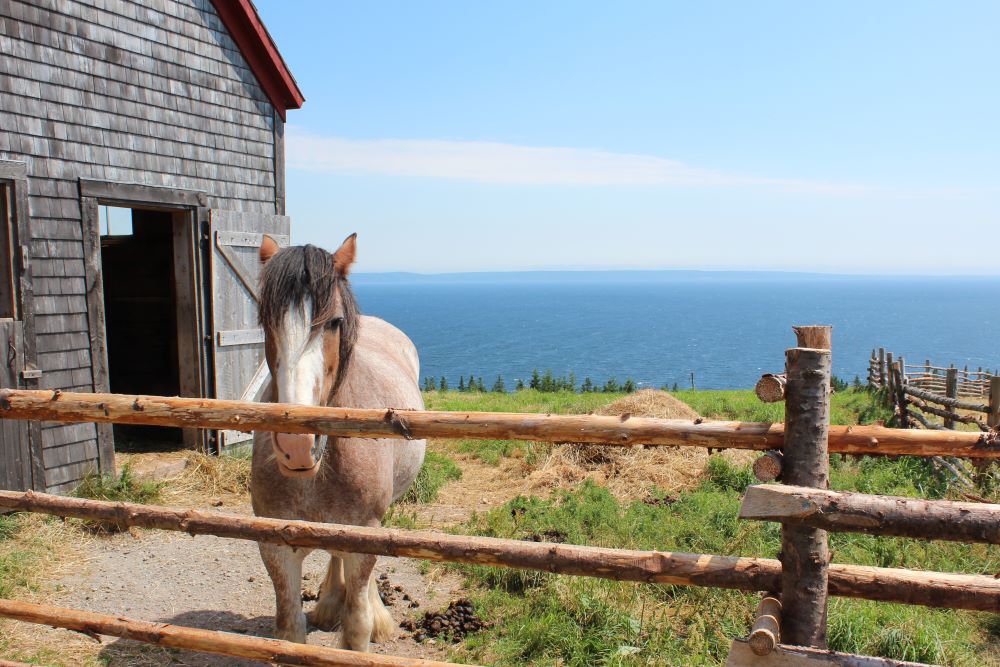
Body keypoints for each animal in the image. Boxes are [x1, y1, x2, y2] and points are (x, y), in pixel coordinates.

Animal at [252, 235, 428, 652]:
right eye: (265, 320)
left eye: (334, 322)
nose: (297, 445)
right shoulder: (274, 546)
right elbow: (289, 629)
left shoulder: (364, 533)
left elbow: (357, 628)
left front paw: (369, 619)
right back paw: (331, 602)